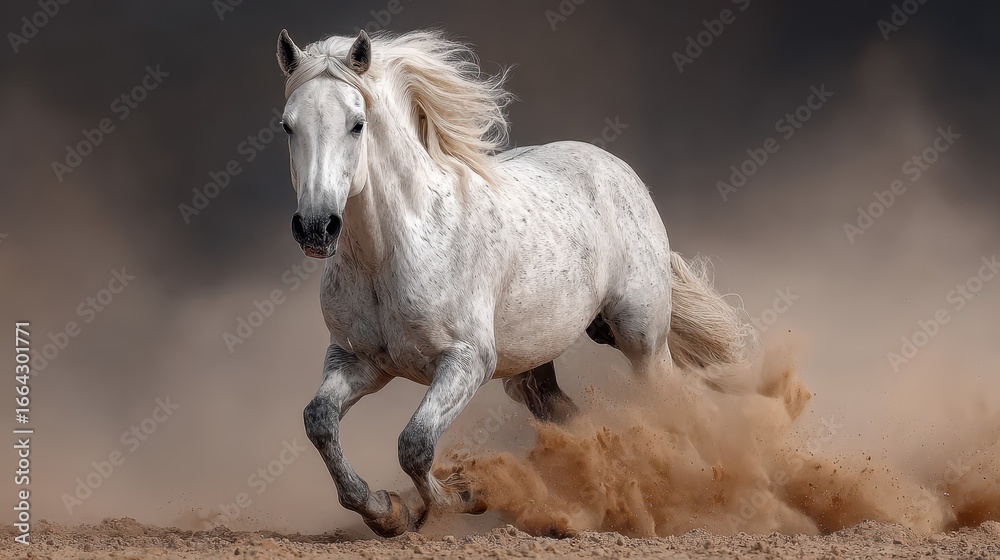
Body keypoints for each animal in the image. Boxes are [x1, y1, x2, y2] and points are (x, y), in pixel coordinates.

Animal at [275, 28, 751, 537]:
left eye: (357, 124)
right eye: (288, 126)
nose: (316, 228)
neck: (390, 253)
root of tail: (618, 168)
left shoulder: (467, 362)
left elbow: (415, 443)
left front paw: (464, 494)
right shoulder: (358, 360)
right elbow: (319, 421)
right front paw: (385, 511)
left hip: (641, 339)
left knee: (670, 402)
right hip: (532, 366)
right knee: (570, 417)